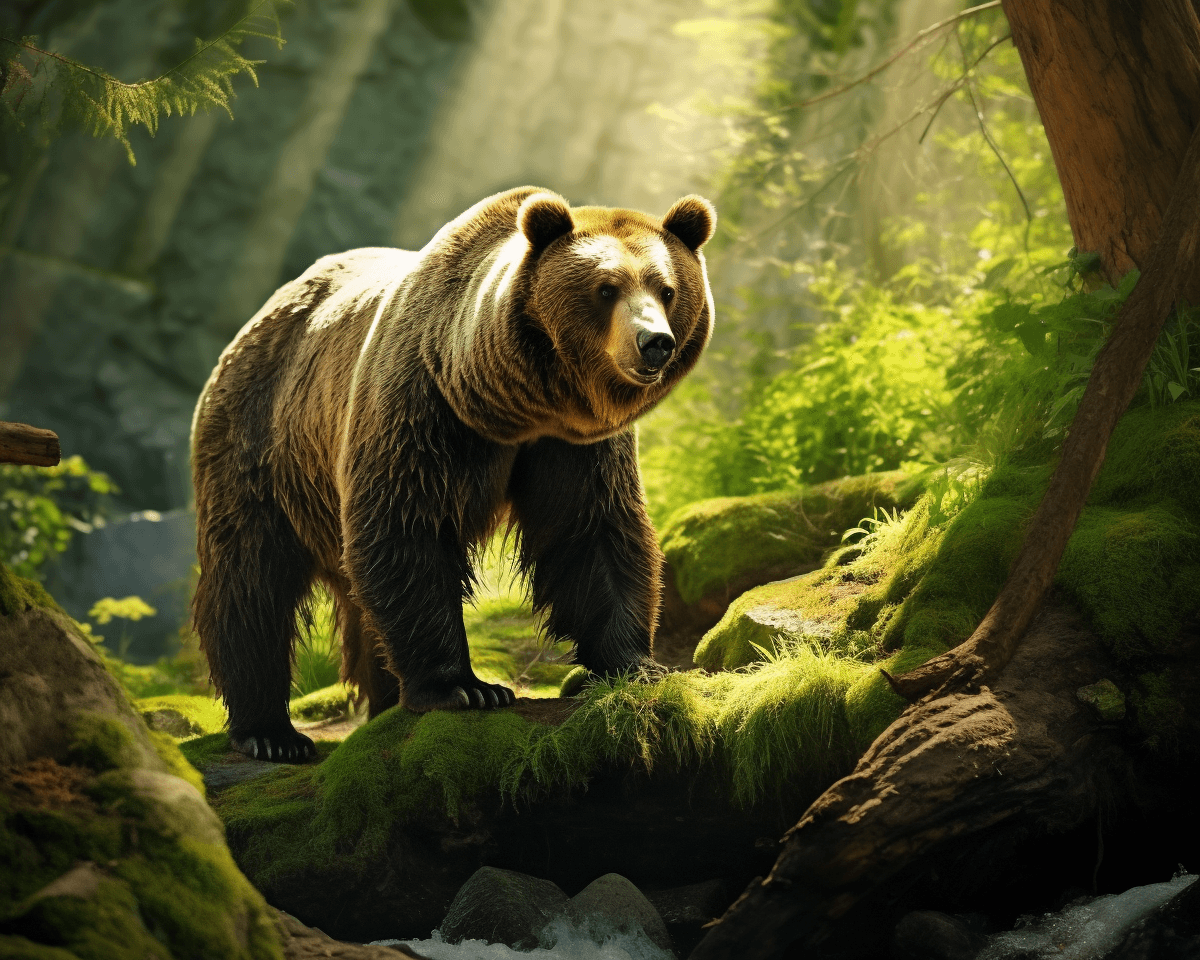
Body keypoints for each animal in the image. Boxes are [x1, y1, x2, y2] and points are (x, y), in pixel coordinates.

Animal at [191, 186, 716, 761]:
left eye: (667, 289)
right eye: (605, 288)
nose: (655, 342)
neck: (514, 403)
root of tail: (258, 318)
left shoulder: (573, 444)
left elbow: (593, 532)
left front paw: (636, 665)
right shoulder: (425, 407)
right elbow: (406, 529)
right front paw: (466, 687)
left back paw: (382, 701)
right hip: (264, 444)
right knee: (250, 576)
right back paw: (270, 732)